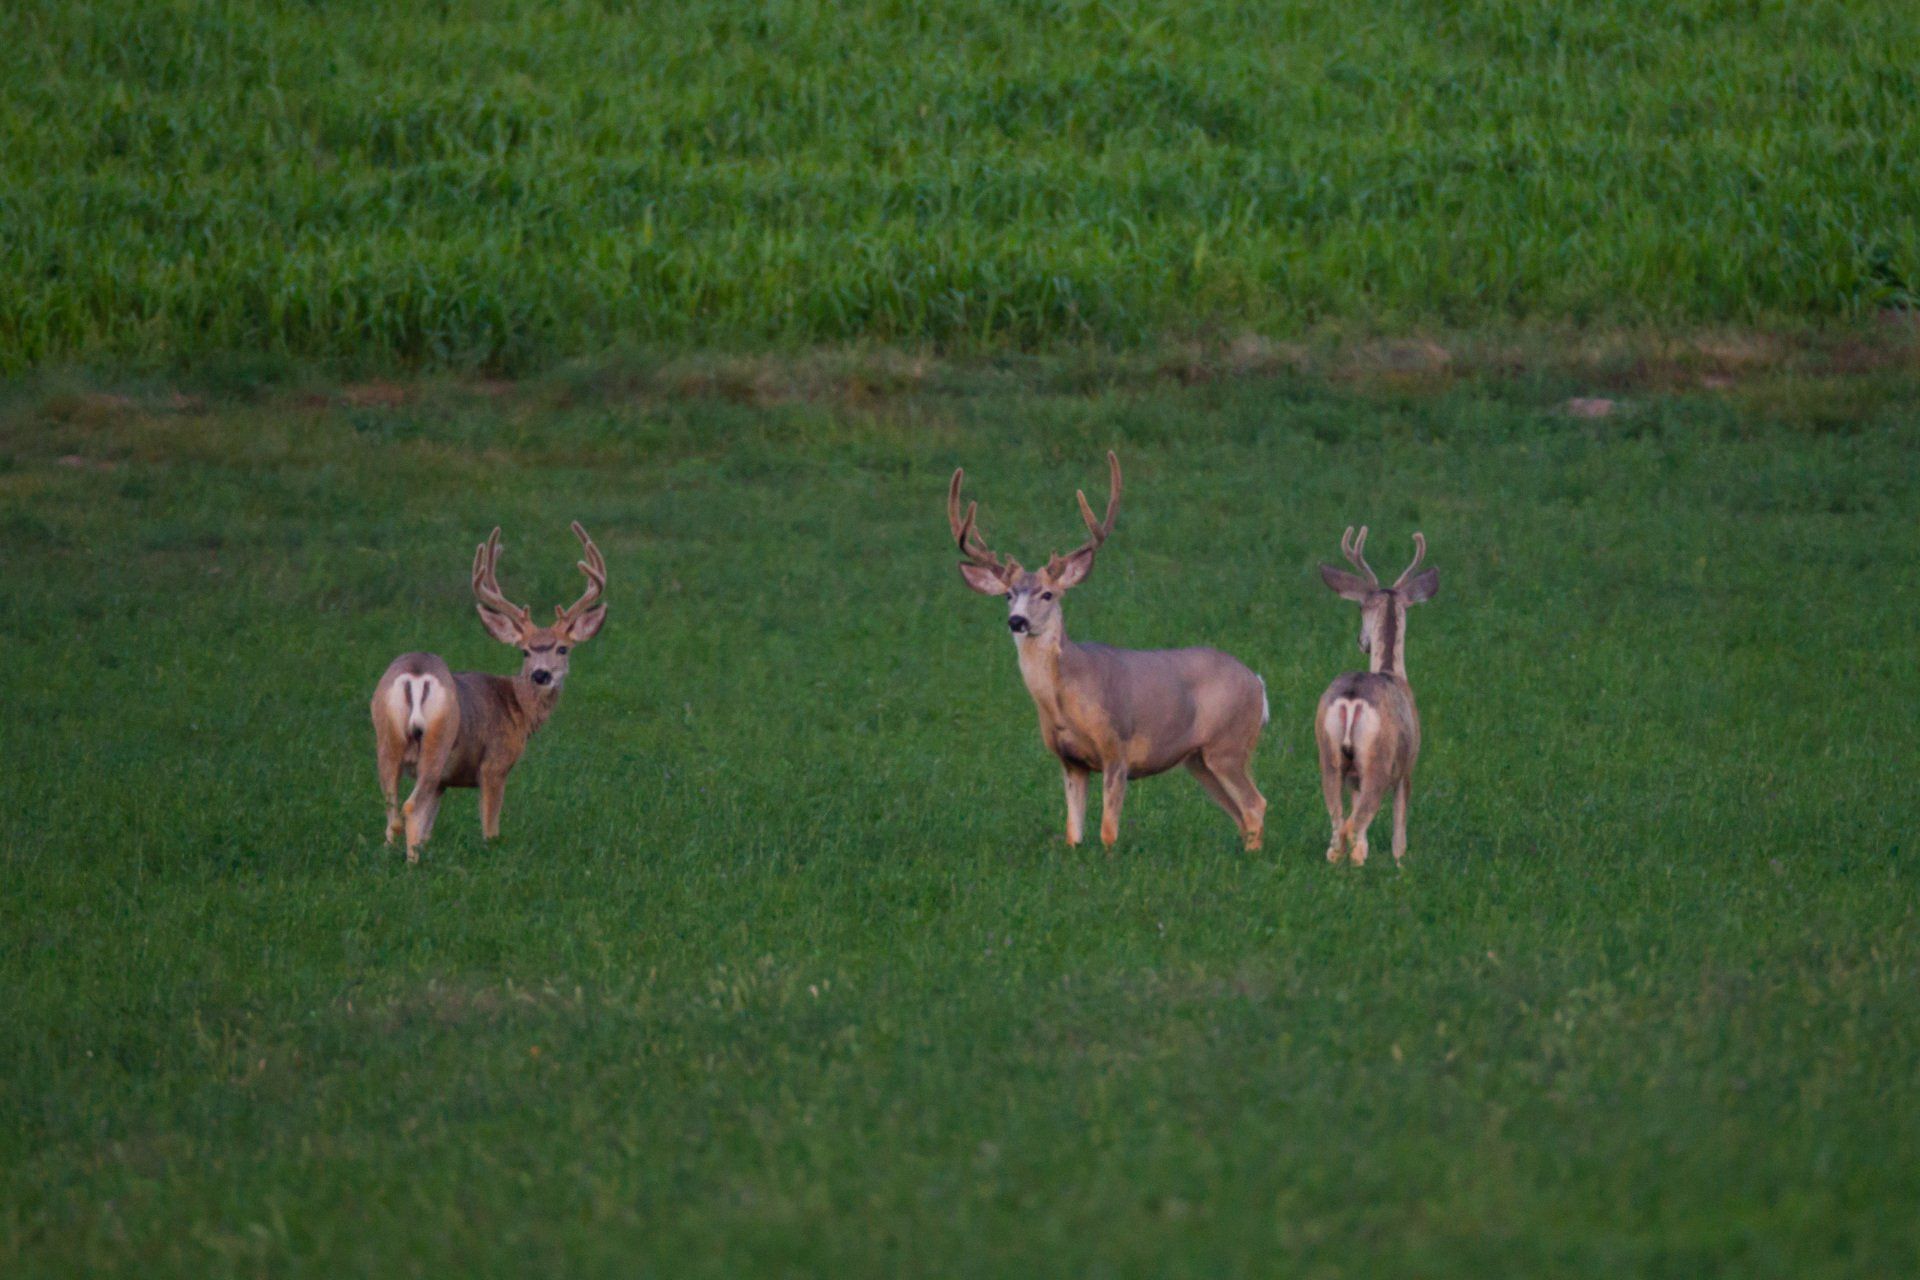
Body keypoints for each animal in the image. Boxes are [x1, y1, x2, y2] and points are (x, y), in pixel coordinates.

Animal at [370, 522, 607, 863]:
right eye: (525, 651)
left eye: (563, 648)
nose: (541, 674)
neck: (517, 709)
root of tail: (416, 675)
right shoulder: (495, 763)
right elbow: (490, 829)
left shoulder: (444, 782)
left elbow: (427, 829)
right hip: (438, 741)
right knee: (410, 808)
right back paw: (413, 866)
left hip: (387, 738)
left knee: (392, 810)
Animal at [947, 452, 1269, 851]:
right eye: (1008, 595)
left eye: (1047, 594)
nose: (1017, 621)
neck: (1064, 700)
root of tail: (1257, 683)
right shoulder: (1070, 761)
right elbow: (1074, 832)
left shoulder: (1117, 746)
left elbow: (1107, 831)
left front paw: (1110, 857)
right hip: (1199, 758)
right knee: (1240, 813)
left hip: (1229, 743)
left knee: (1256, 804)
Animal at [1314, 526, 1438, 866]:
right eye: (1360, 607)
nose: (1362, 642)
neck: (1391, 671)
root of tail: (1352, 698)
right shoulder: (1407, 767)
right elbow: (1399, 836)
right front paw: (1400, 865)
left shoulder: (1354, 778)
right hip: (1378, 762)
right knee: (1352, 829)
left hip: (1329, 756)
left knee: (1338, 831)